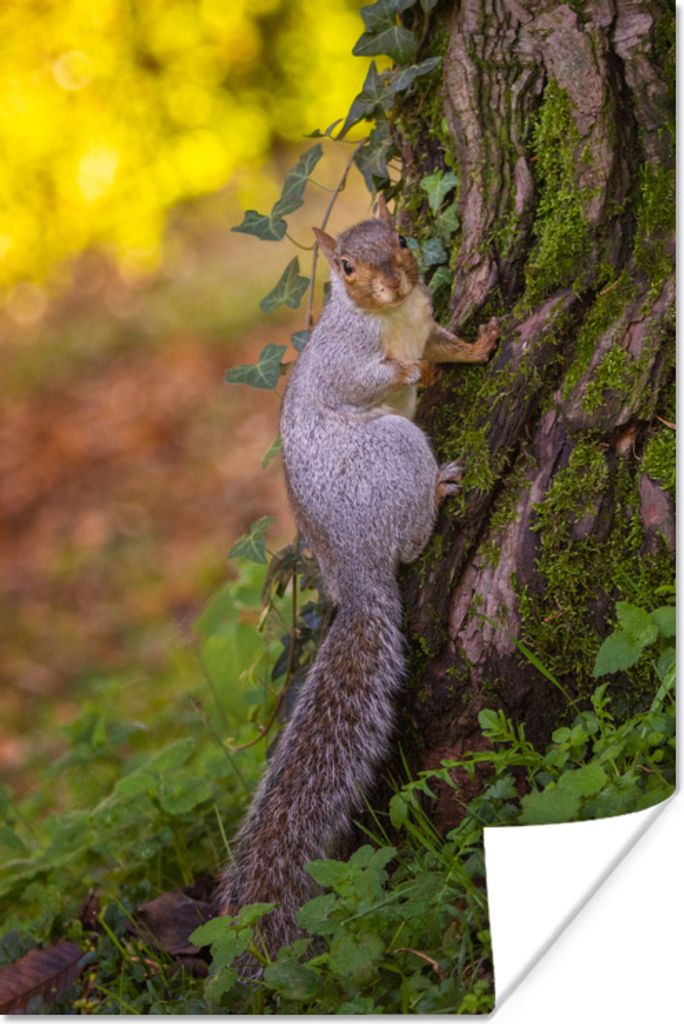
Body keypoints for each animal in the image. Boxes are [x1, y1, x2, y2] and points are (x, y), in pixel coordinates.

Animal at [218, 195, 499, 965]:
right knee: (408, 542)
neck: (391, 317)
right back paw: (436, 493)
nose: (391, 279)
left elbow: (448, 344)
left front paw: (484, 343)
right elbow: (373, 376)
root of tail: (355, 571)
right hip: (391, 453)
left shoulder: (428, 320)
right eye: (344, 267)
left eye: (400, 237)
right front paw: (406, 372)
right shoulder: (345, 361)